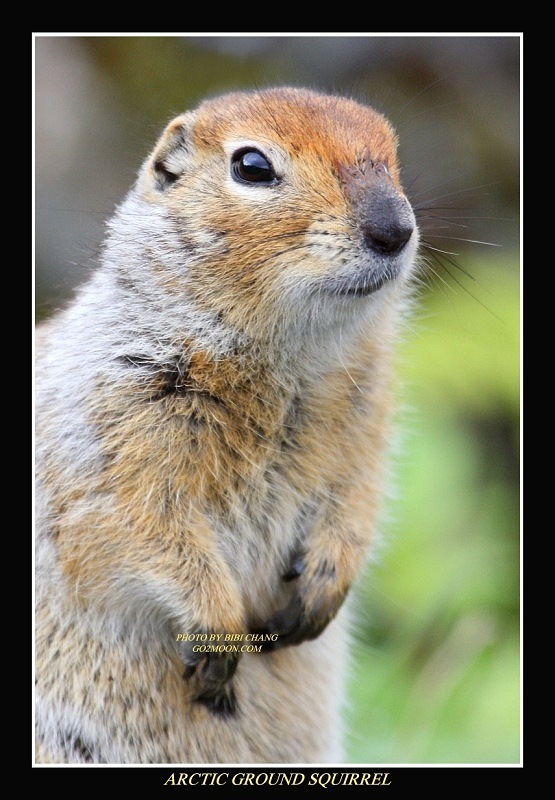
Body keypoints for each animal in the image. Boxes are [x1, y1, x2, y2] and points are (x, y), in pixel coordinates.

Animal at [33, 86, 416, 764]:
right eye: (252, 166)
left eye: (393, 152)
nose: (396, 228)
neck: (290, 362)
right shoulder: (112, 426)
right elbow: (140, 527)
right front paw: (218, 635)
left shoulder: (368, 425)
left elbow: (359, 501)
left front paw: (320, 589)